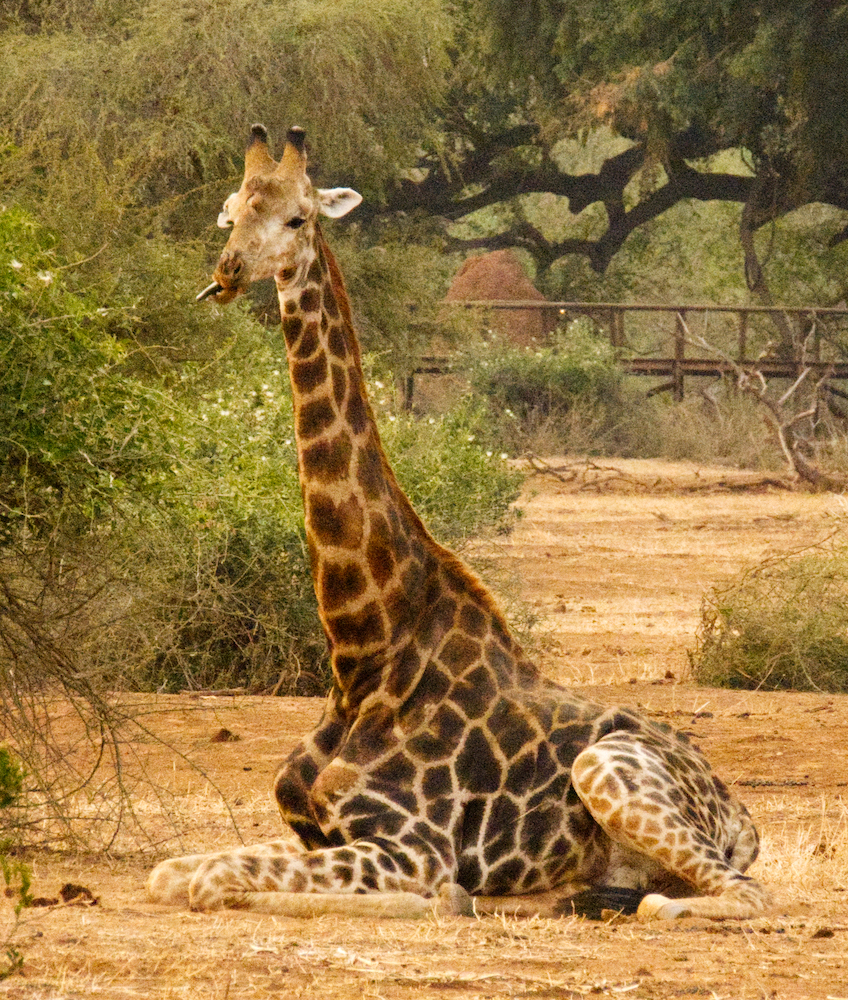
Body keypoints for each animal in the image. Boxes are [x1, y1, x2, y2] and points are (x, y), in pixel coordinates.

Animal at [147, 125, 776, 920]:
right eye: (232, 213)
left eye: (298, 218)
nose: (228, 272)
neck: (364, 650)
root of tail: (741, 812)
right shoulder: (312, 831)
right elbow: (172, 871)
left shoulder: (411, 844)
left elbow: (211, 881)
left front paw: (436, 900)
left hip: (608, 768)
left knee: (738, 895)